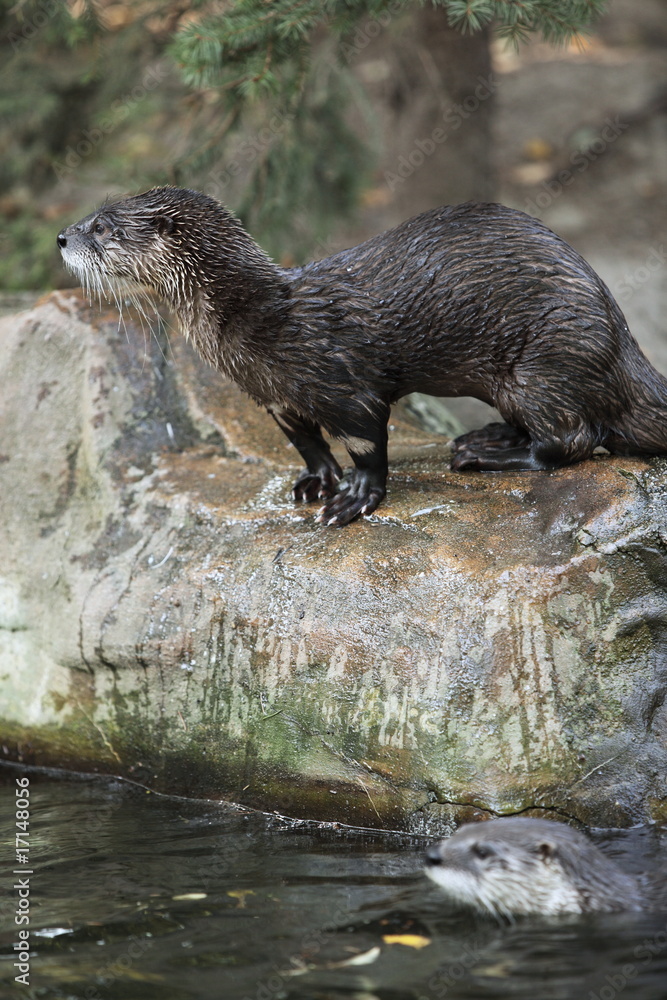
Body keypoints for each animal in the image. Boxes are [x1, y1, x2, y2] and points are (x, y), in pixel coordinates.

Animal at [57, 188, 667, 526]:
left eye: (103, 227)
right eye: (90, 217)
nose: (62, 237)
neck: (252, 318)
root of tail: (619, 335)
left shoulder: (342, 387)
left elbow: (368, 447)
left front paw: (353, 501)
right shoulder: (274, 398)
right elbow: (306, 443)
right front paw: (315, 482)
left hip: (544, 363)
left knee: (575, 440)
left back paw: (483, 456)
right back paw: (488, 436)